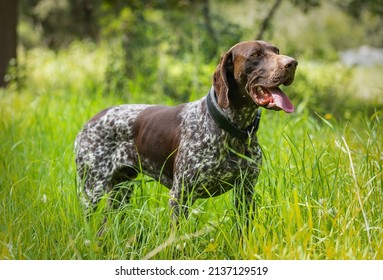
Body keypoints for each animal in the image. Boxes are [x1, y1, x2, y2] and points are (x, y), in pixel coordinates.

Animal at [74, 40, 296, 223]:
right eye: (255, 54)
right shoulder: (180, 196)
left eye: (276, 51)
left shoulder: (245, 191)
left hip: (121, 192)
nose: (292, 63)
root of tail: (89, 121)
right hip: (91, 190)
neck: (233, 131)